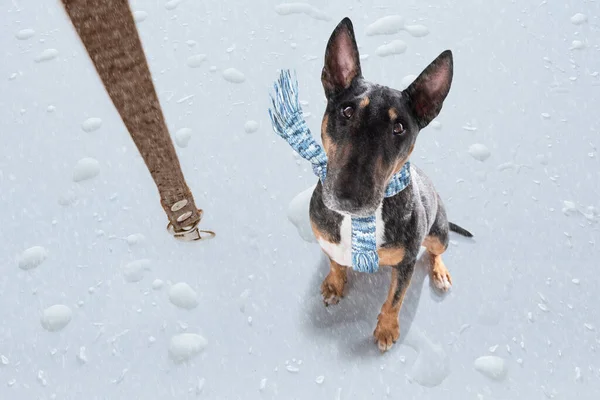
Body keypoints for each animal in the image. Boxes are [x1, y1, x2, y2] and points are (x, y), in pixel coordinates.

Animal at [310, 17, 474, 352]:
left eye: (399, 127)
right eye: (347, 111)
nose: (349, 196)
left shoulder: (406, 264)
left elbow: (395, 299)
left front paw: (386, 330)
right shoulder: (326, 239)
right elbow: (335, 263)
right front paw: (334, 284)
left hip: (438, 232)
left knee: (437, 251)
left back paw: (440, 273)